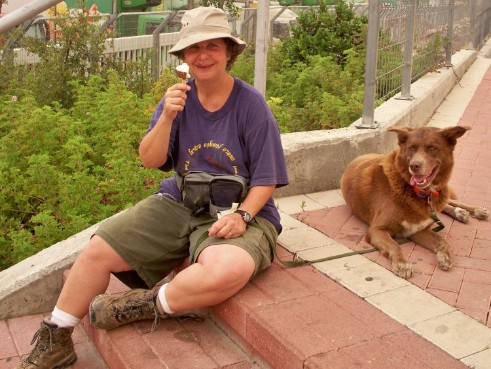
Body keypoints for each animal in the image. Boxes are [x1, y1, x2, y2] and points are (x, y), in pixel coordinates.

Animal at [342, 125, 488, 278]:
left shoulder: (419, 229)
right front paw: (402, 263)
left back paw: (472, 210)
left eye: (432, 148)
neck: (418, 192)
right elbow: (394, 244)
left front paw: (445, 256)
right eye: (411, 148)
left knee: (449, 202)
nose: (414, 166)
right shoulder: (377, 230)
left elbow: (442, 240)